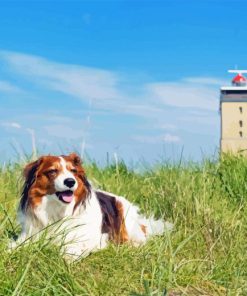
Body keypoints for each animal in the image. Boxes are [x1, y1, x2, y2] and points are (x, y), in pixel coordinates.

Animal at [9, 153, 172, 260]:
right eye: (52, 171)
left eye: (73, 171)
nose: (70, 181)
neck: (58, 210)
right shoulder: (29, 234)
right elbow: (14, 246)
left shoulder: (95, 238)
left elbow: (71, 247)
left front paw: (67, 254)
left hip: (126, 218)